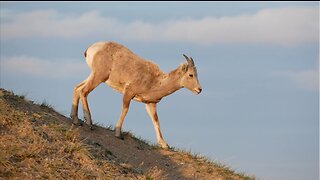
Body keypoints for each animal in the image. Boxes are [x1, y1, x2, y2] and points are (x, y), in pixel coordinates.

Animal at [71, 41, 201, 148]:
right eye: (190, 75)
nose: (199, 89)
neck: (155, 81)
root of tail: (91, 49)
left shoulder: (150, 104)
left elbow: (156, 121)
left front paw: (164, 144)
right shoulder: (129, 93)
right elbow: (125, 110)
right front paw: (118, 134)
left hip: (94, 75)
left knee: (77, 88)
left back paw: (76, 120)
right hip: (99, 76)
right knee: (84, 91)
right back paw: (89, 122)